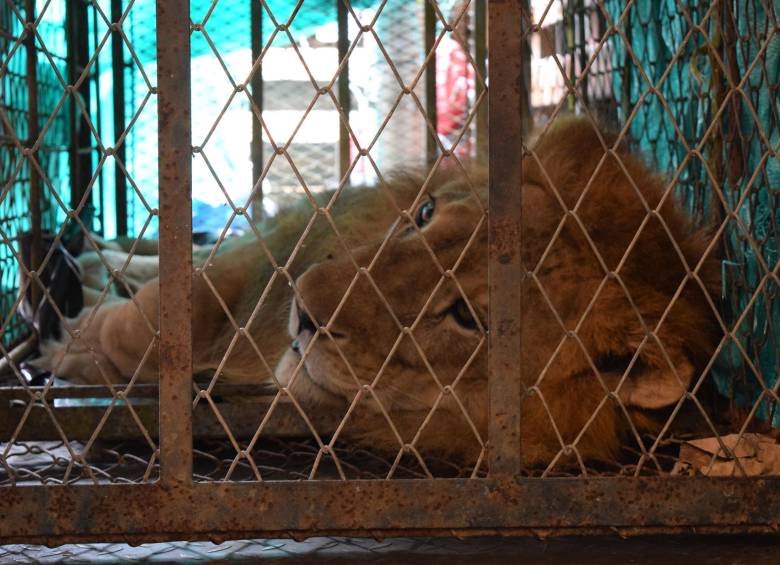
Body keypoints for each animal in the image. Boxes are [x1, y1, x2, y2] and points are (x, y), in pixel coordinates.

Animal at [35, 117, 723, 467]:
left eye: (467, 316)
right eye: (424, 214)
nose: (304, 311)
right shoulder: (280, 247)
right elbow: (171, 305)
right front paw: (79, 340)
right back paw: (92, 260)